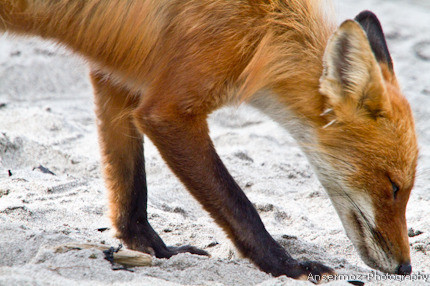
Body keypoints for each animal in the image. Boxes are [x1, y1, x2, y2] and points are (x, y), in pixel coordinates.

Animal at [0, 0, 416, 282]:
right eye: (393, 187)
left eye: (406, 190)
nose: (406, 267)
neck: (265, 31)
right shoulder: (168, 112)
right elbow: (240, 207)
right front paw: (287, 266)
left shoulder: (116, 78)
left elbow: (129, 189)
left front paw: (155, 250)